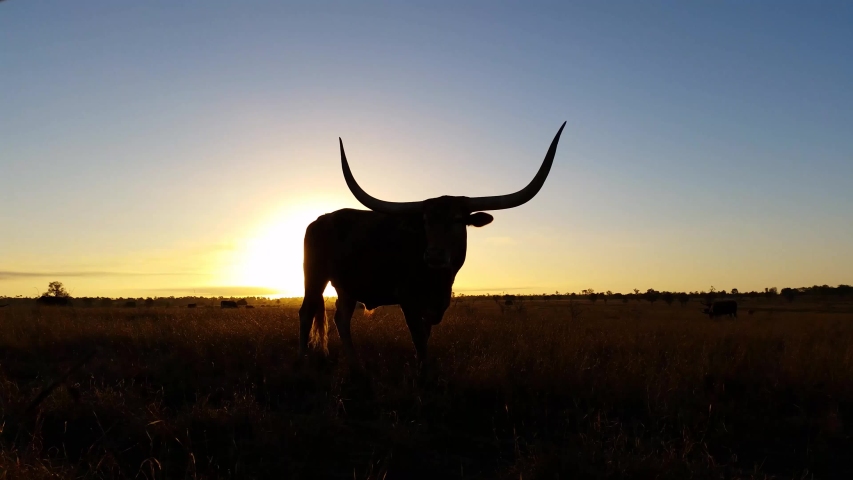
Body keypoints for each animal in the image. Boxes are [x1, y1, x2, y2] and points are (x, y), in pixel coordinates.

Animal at [300, 122, 564, 362]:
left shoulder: (436, 305)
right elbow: (419, 339)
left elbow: (425, 339)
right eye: (425, 221)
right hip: (315, 276)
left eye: (458, 220)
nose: (435, 255)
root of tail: (320, 219)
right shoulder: (409, 301)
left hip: (348, 286)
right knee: (307, 311)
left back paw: (356, 365)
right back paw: (303, 358)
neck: (437, 279)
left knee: (341, 319)